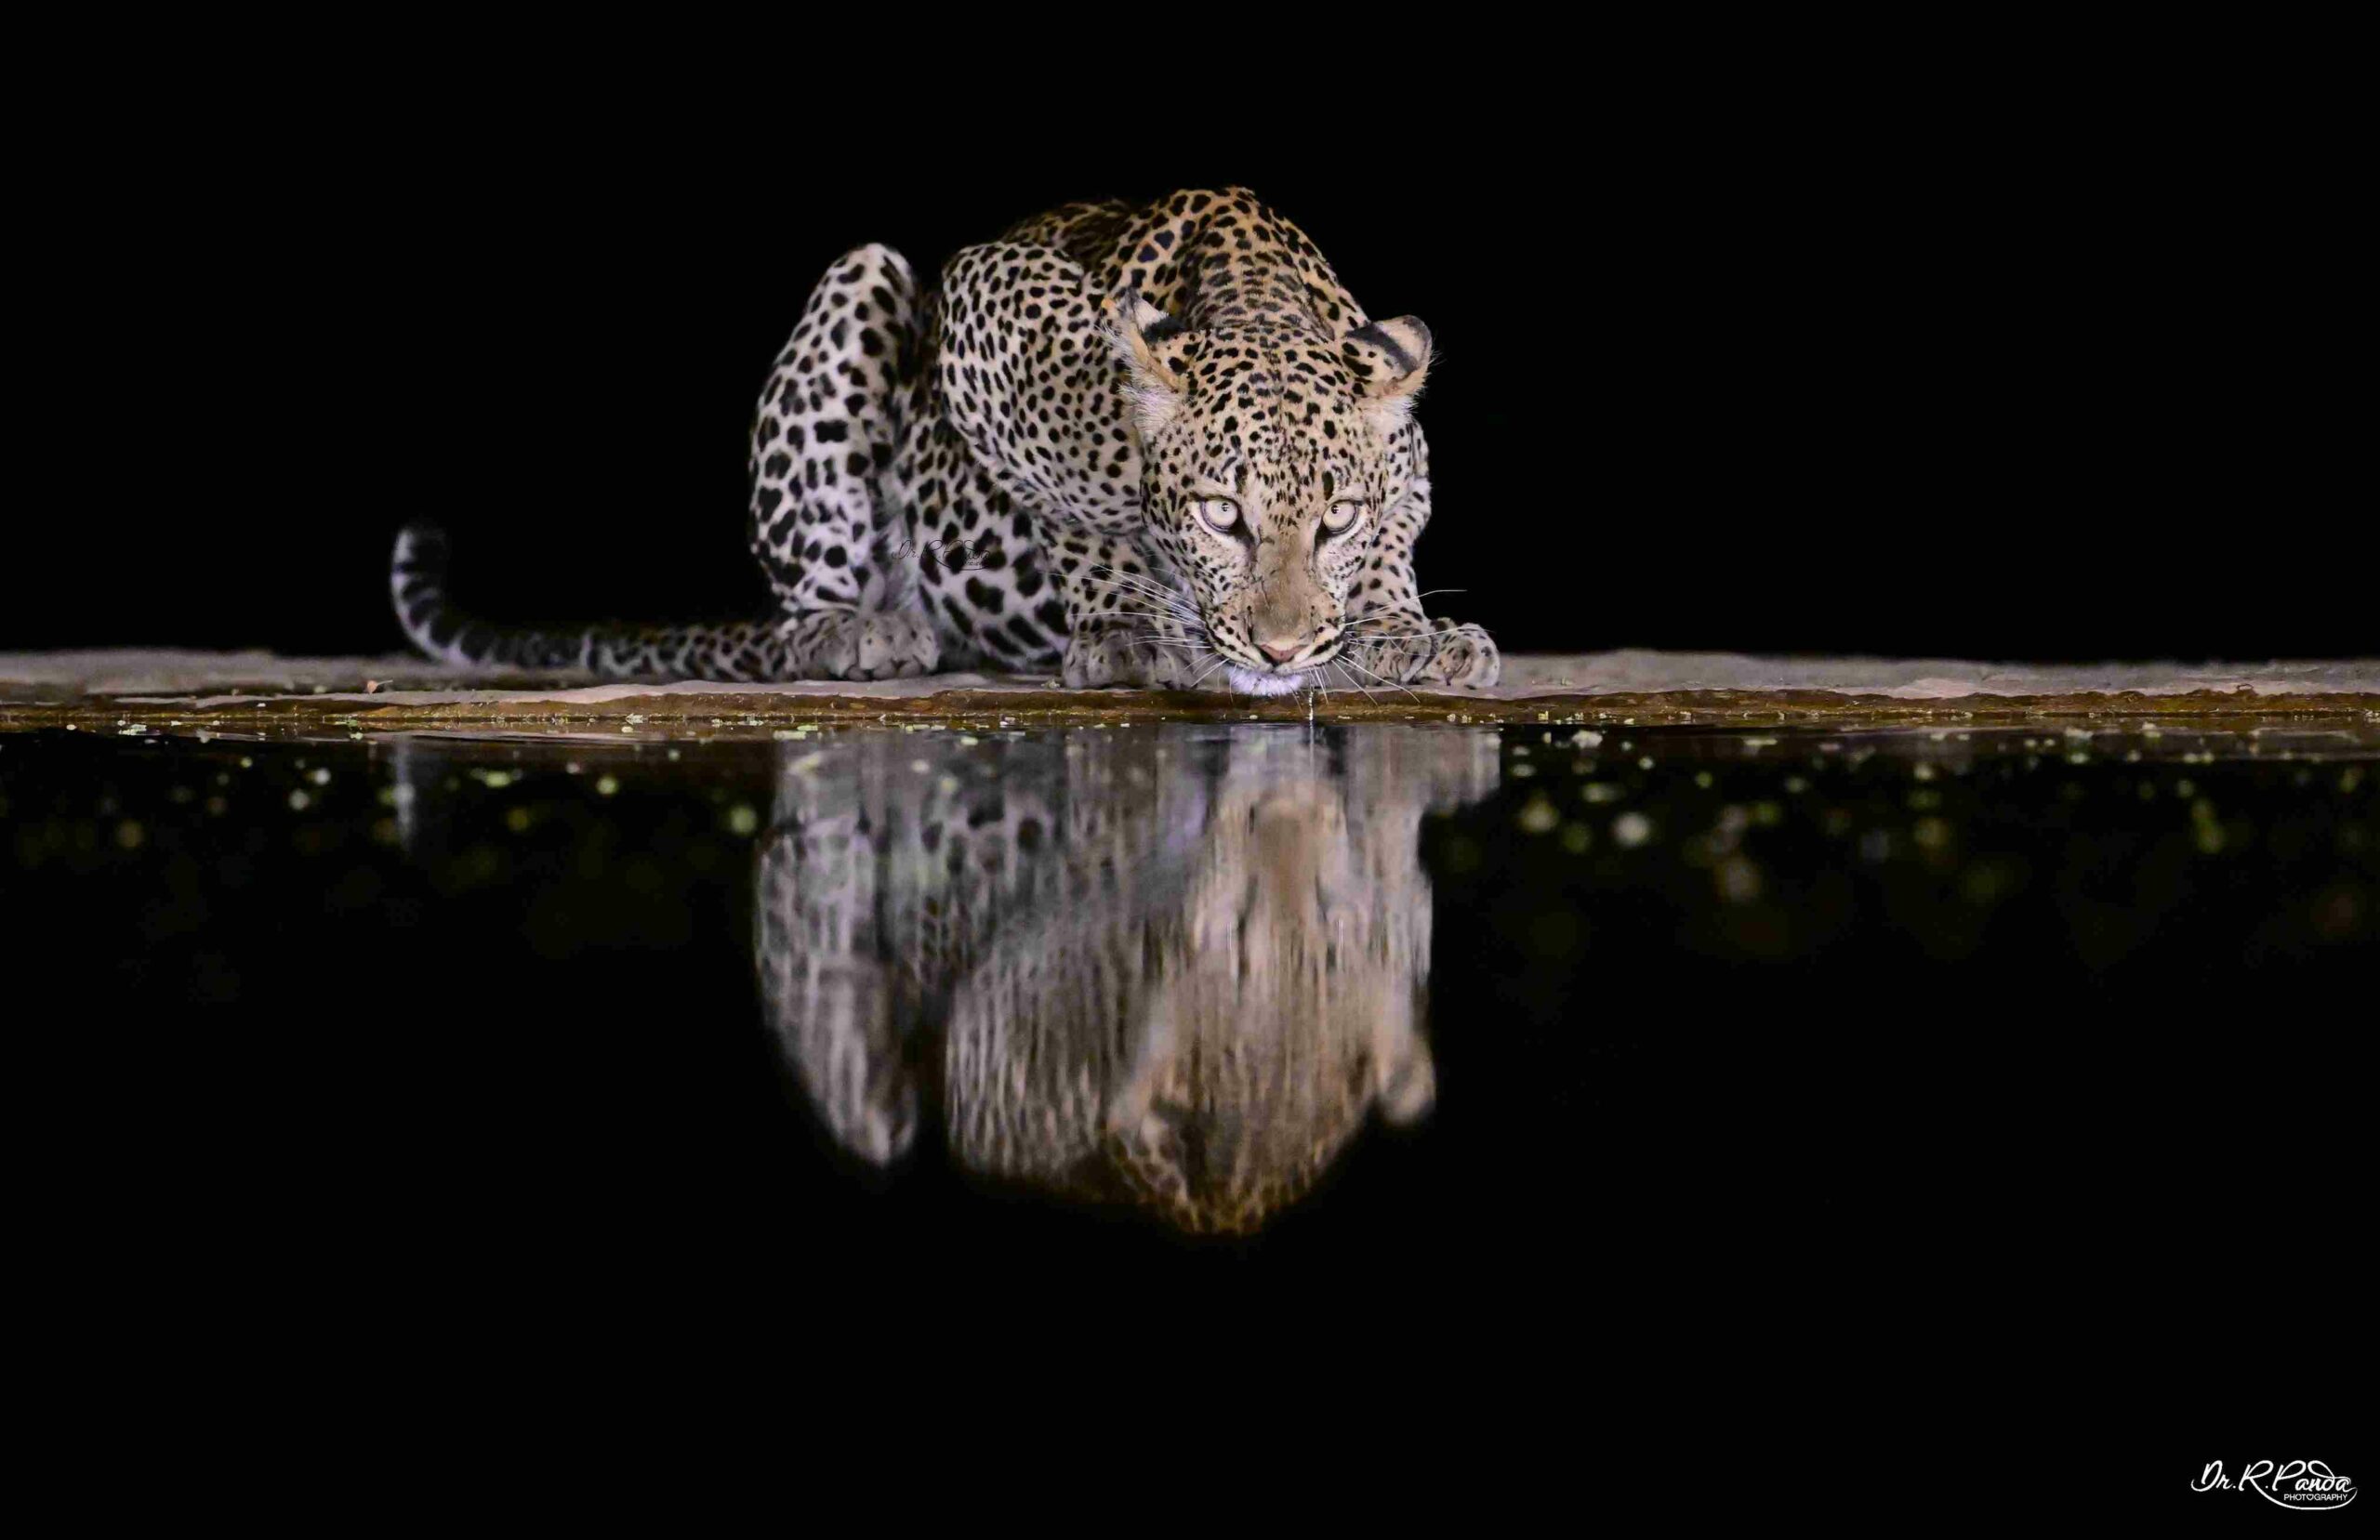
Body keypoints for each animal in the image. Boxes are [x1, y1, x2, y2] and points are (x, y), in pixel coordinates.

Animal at [397, 188, 1494, 699]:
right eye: (1222, 516)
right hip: (865, 281)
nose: (1281, 646)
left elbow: (1397, 528)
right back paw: (856, 630)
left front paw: (1403, 630)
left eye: (1336, 517)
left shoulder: (1401, 441)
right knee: (803, 603)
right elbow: (1079, 499)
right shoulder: (985, 305)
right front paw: (1127, 627)